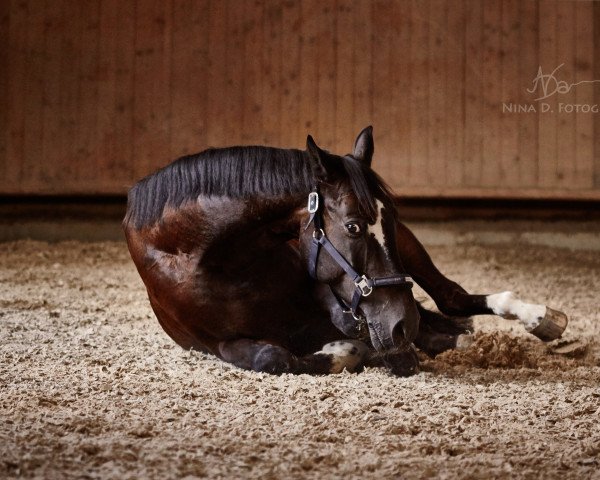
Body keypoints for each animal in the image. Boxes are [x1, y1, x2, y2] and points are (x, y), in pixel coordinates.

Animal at [123, 126, 568, 376]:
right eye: (353, 226)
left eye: (387, 219)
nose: (401, 326)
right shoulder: (219, 344)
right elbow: (273, 358)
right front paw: (345, 352)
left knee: (449, 297)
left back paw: (539, 317)